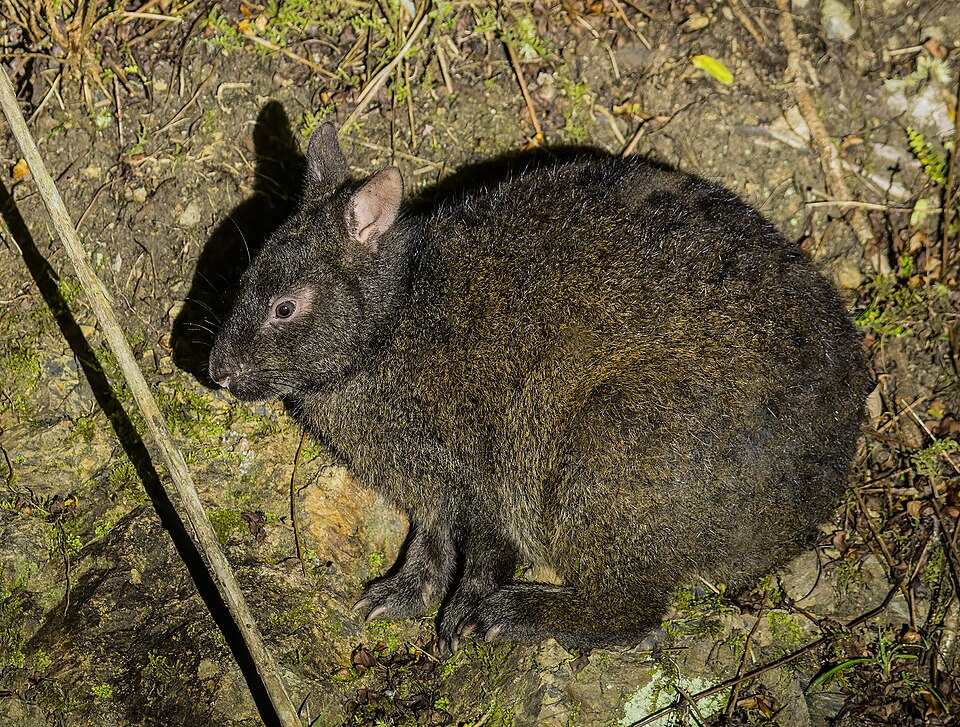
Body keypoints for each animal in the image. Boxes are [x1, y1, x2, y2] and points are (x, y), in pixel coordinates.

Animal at [208, 123, 867, 650]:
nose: (217, 371)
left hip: (607, 463)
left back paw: (514, 614)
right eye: (245, 276)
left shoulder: (484, 480)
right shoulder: (436, 492)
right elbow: (430, 550)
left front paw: (459, 623)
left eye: (286, 308)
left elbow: (479, 558)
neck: (391, 323)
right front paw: (392, 599)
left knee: (634, 612)